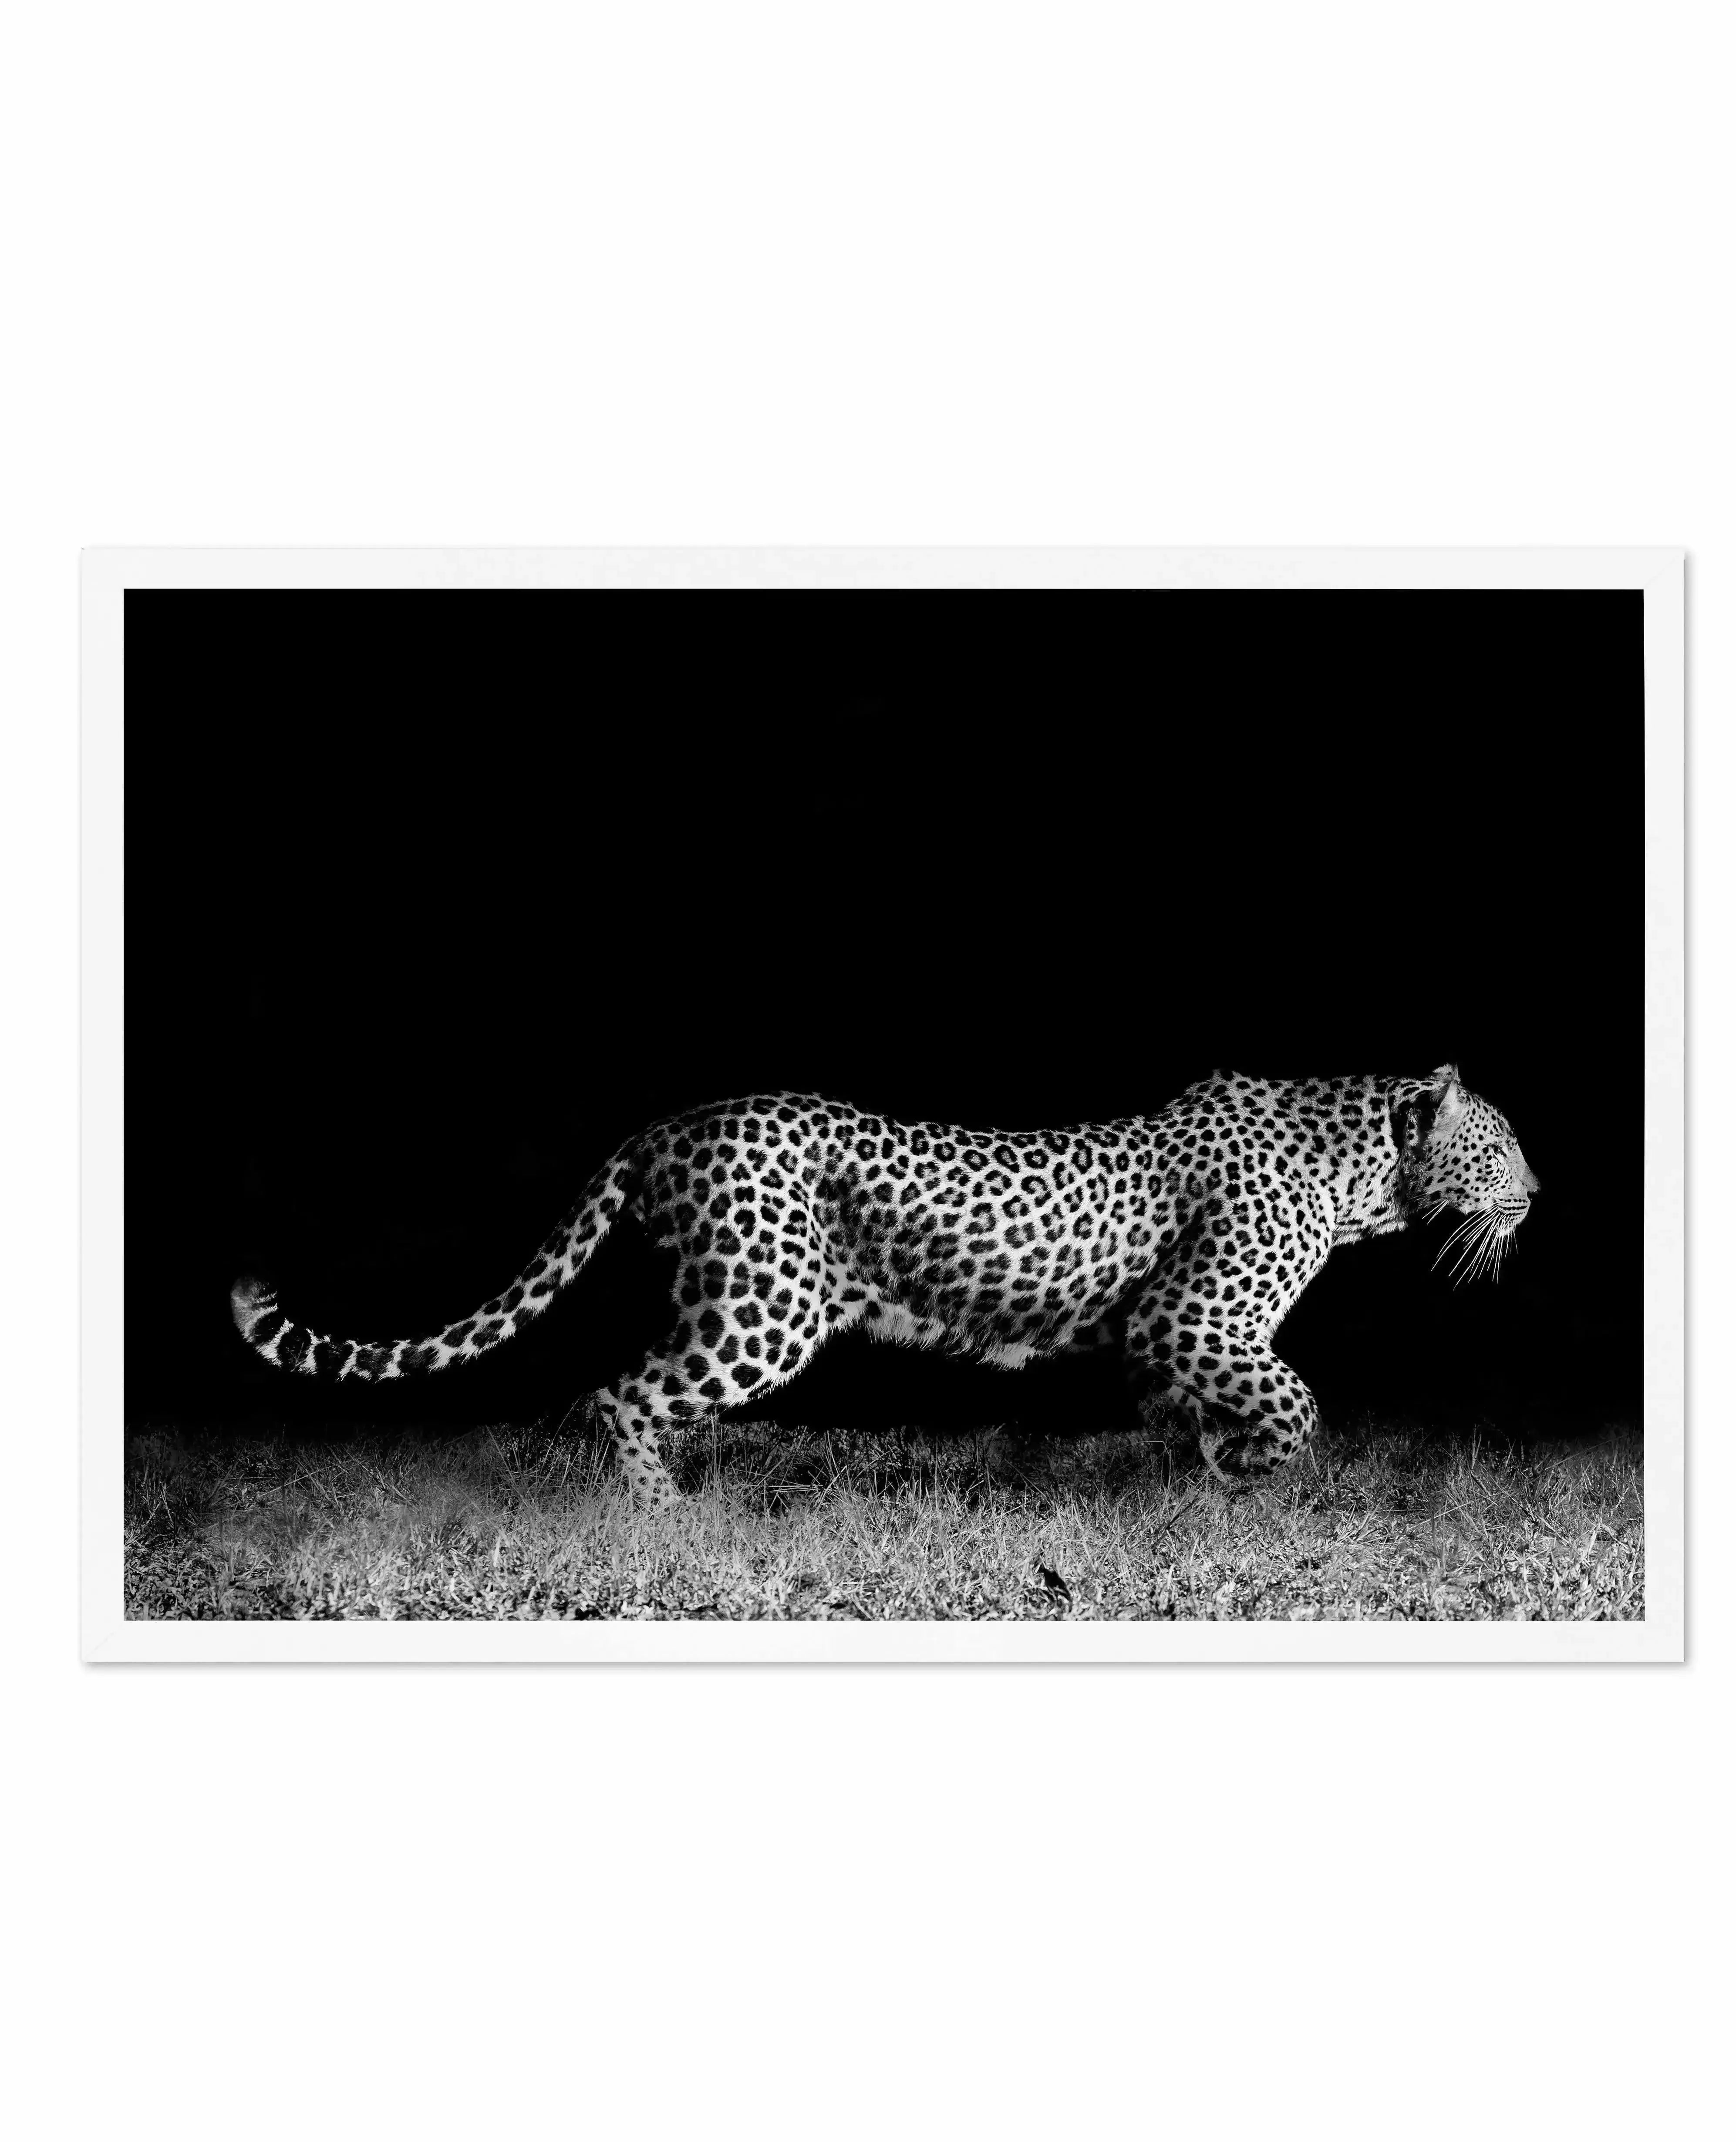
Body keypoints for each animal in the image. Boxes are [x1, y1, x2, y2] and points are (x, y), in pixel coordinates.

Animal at [231, 1063, 1538, 1509]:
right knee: (619, 1393)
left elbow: (1191, 1412)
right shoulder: (1193, 1316)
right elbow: (1294, 1400)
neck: (1363, 1174)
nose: (1539, 1190)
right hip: (765, 1308)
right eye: (1502, 1145)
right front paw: (1253, 1468)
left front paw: (1204, 1477)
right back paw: (665, 1518)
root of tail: (666, 1123)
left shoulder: (1157, 1338)